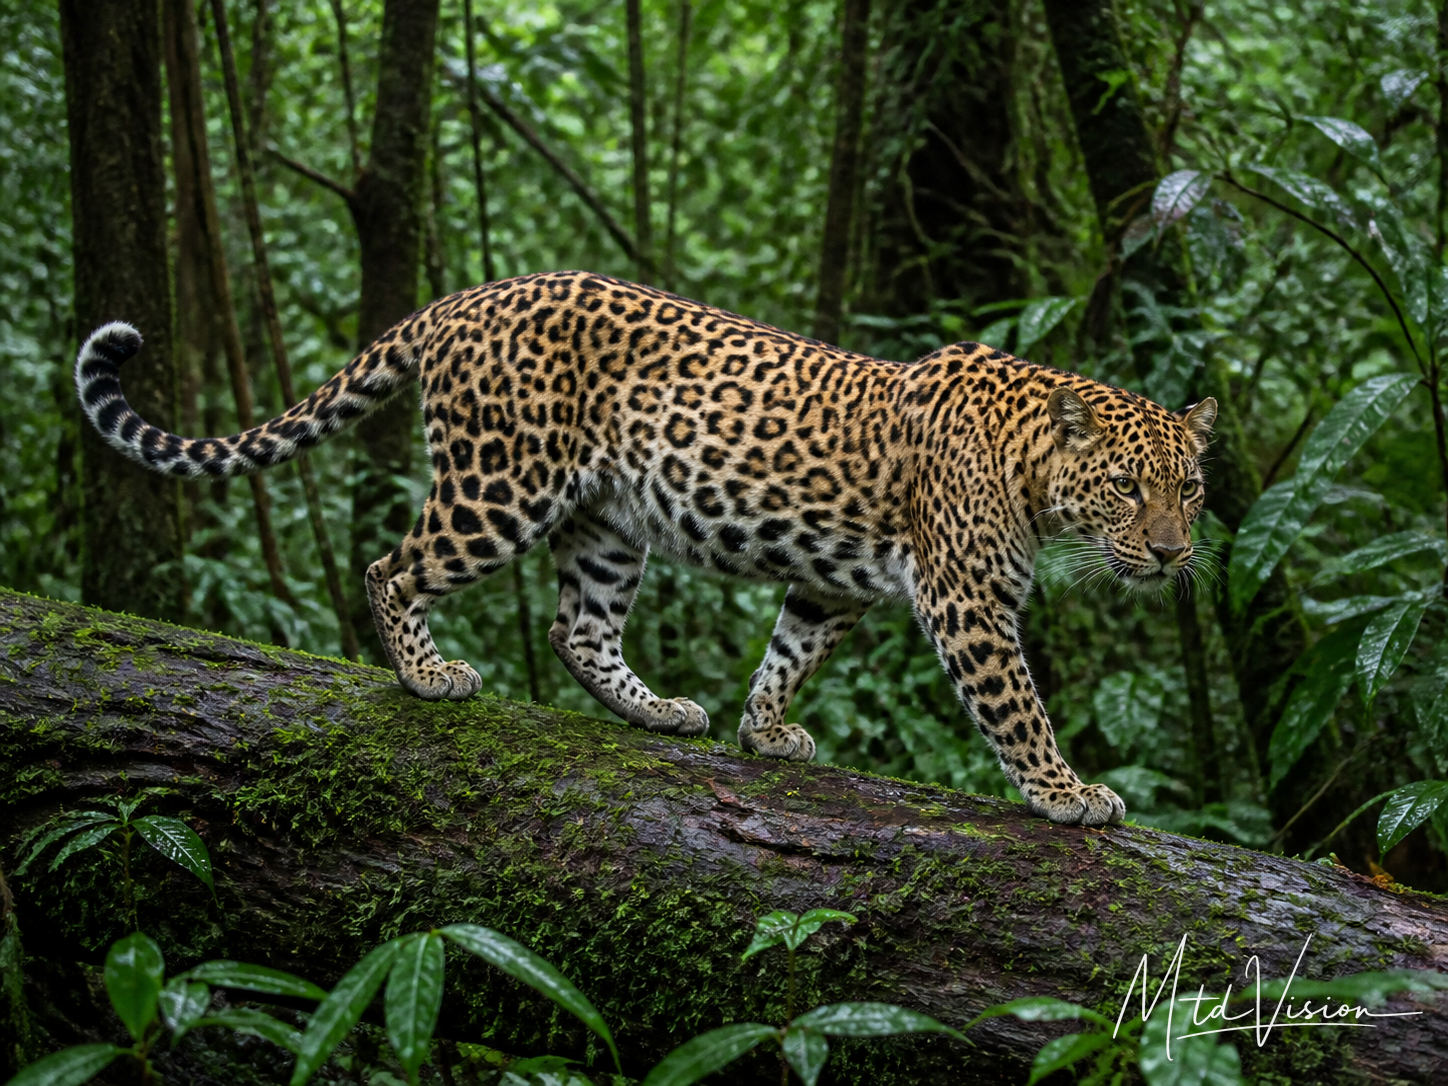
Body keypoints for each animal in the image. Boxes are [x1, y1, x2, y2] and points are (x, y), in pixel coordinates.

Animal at [76, 270, 1216, 827]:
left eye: (1191, 489)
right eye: (1127, 487)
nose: (1170, 557)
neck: (1032, 468)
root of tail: (465, 297)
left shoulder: (830, 585)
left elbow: (788, 653)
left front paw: (764, 733)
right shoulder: (968, 602)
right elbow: (1017, 709)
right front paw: (1066, 795)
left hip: (610, 523)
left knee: (576, 629)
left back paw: (658, 711)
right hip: (502, 484)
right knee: (392, 567)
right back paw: (427, 675)